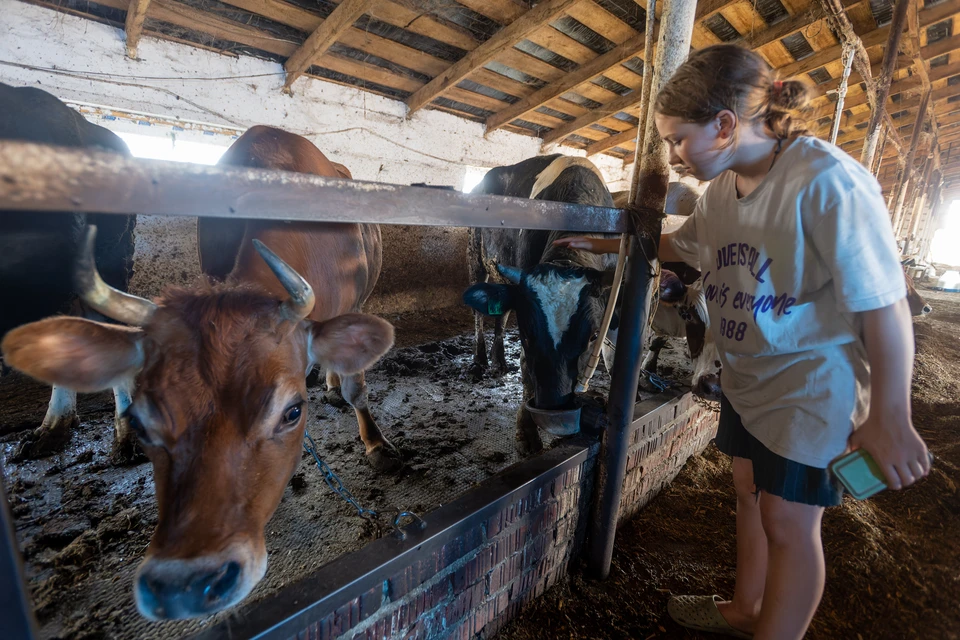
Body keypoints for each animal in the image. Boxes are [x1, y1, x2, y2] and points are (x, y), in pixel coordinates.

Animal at [464, 155, 616, 456]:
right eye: (525, 334)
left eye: (593, 335)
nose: (553, 405)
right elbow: (526, 366)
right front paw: (526, 433)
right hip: (476, 256)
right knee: (478, 312)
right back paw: (480, 360)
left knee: (501, 313)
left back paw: (499, 360)